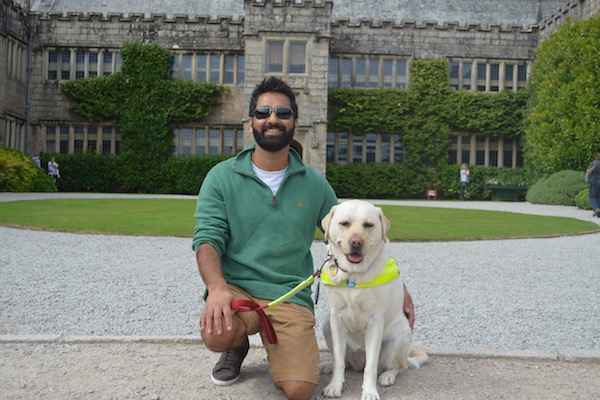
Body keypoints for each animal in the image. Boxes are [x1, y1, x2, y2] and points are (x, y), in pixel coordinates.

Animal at [318, 200, 426, 400]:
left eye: (368, 225)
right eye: (344, 223)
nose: (356, 242)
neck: (353, 274)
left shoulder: (375, 322)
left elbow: (371, 366)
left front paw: (369, 391)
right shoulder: (336, 319)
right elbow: (339, 361)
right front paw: (334, 386)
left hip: (397, 340)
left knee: (398, 367)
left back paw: (387, 376)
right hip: (327, 326)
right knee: (344, 362)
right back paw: (327, 366)